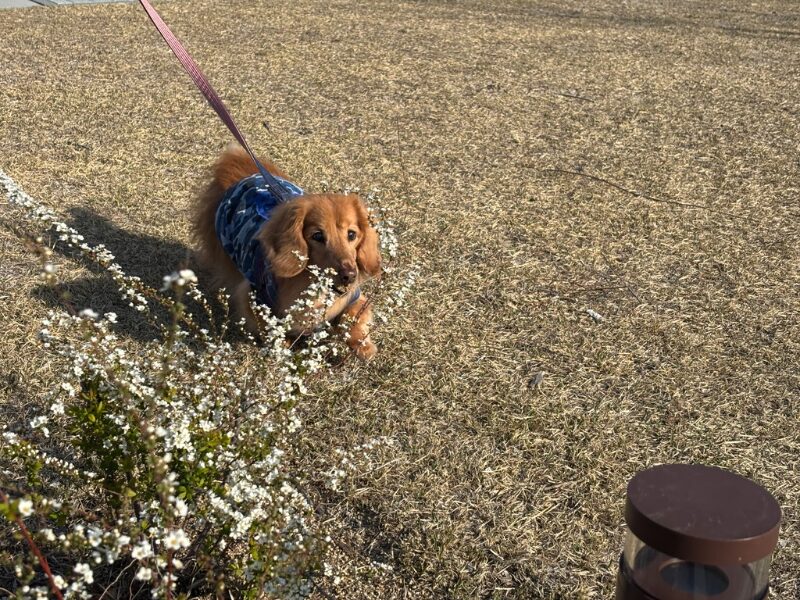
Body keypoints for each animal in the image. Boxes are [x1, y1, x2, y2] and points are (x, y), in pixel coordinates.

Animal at [192, 144, 381, 359]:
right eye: (317, 236)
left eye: (351, 234)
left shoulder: (354, 298)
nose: (349, 275)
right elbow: (267, 324)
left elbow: (354, 315)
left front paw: (362, 345)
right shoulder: (254, 295)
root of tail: (242, 170)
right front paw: (283, 342)